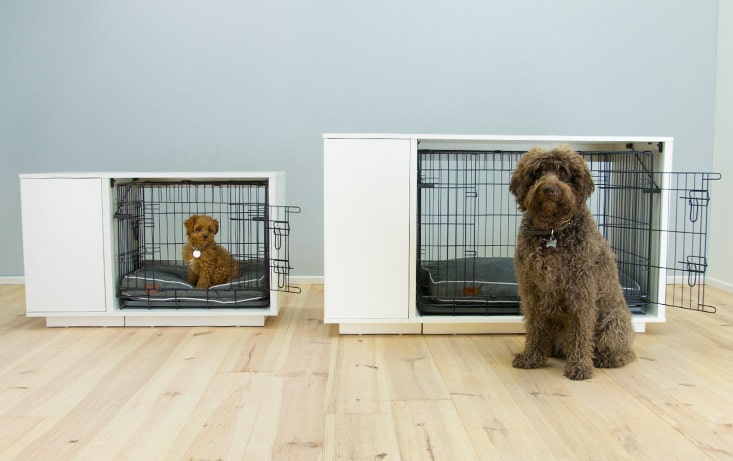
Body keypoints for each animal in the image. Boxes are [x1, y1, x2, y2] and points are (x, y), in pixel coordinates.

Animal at [508, 146, 636, 380]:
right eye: (538, 173)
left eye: (563, 173)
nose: (548, 189)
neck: (553, 231)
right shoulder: (531, 290)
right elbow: (535, 327)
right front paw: (532, 357)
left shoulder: (580, 290)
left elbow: (580, 330)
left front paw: (579, 366)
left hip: (613, 320)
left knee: (624, 352)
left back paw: (605, 358)